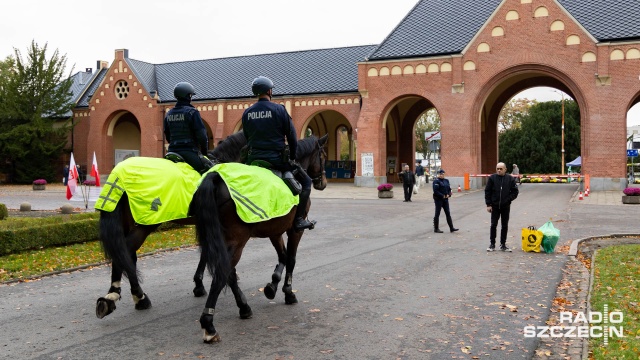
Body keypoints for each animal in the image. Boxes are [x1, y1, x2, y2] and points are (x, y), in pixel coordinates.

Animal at [189, 134, 328, 342]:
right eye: (323, 156)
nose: (323, 182)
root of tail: (216, 177)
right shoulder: (294, 230)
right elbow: (291, 259)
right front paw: (288, 292)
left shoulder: (275, 230)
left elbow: (282, 256)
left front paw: (272, 286)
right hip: (237, 241)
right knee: (223, 272)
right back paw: (209, 325)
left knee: (228, 272)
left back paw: (243, 307)